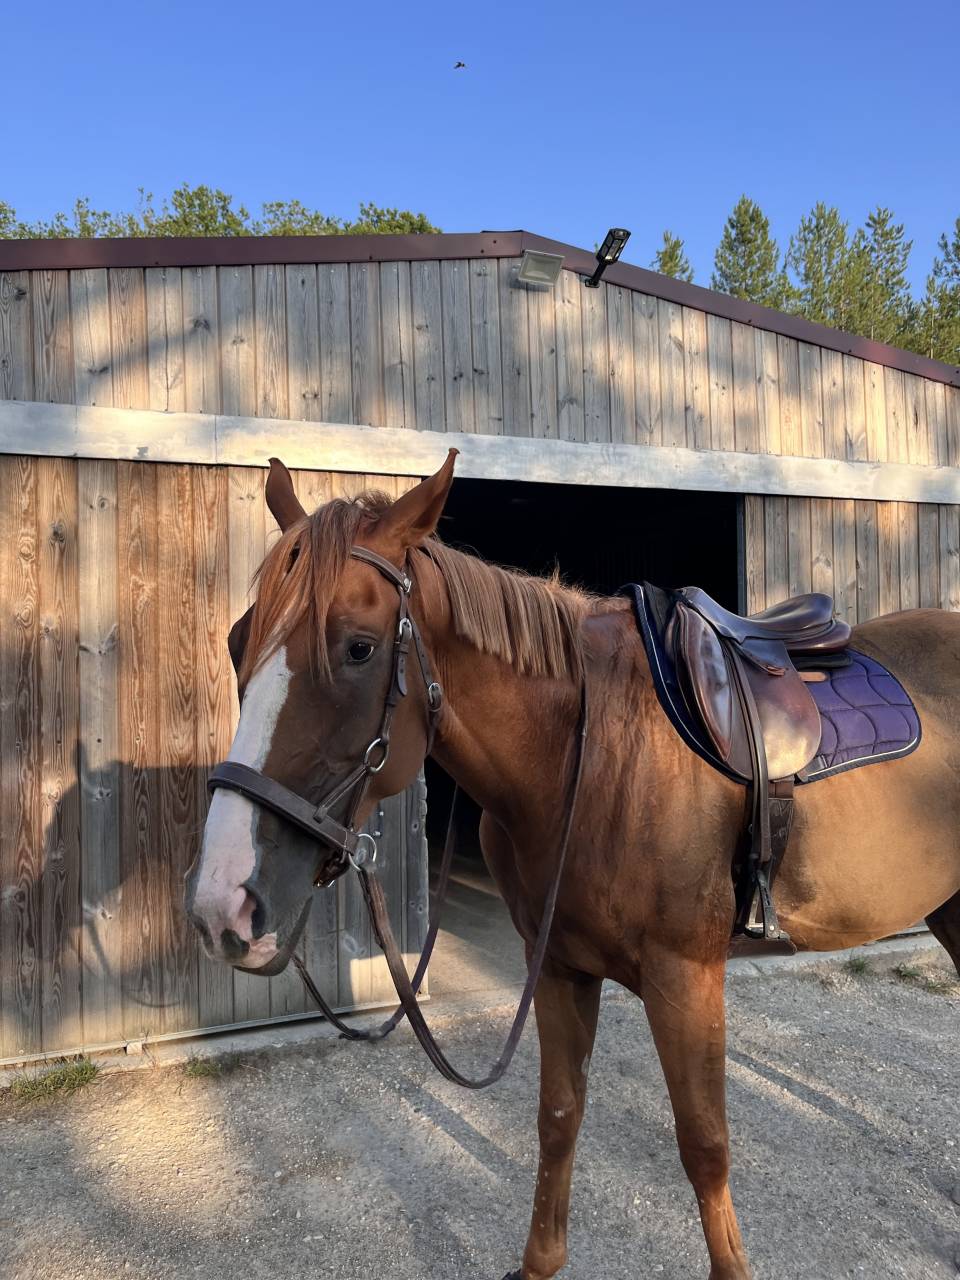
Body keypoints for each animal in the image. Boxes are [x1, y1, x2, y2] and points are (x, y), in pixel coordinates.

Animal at [185, 451, 960, 1279]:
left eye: (357, 646)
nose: (221, 902)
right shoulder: (556, 964)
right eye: (237, 640)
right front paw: (540, 1260)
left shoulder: (685, 975)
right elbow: (558, 1117)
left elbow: (704, 1145)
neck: (590, 759)